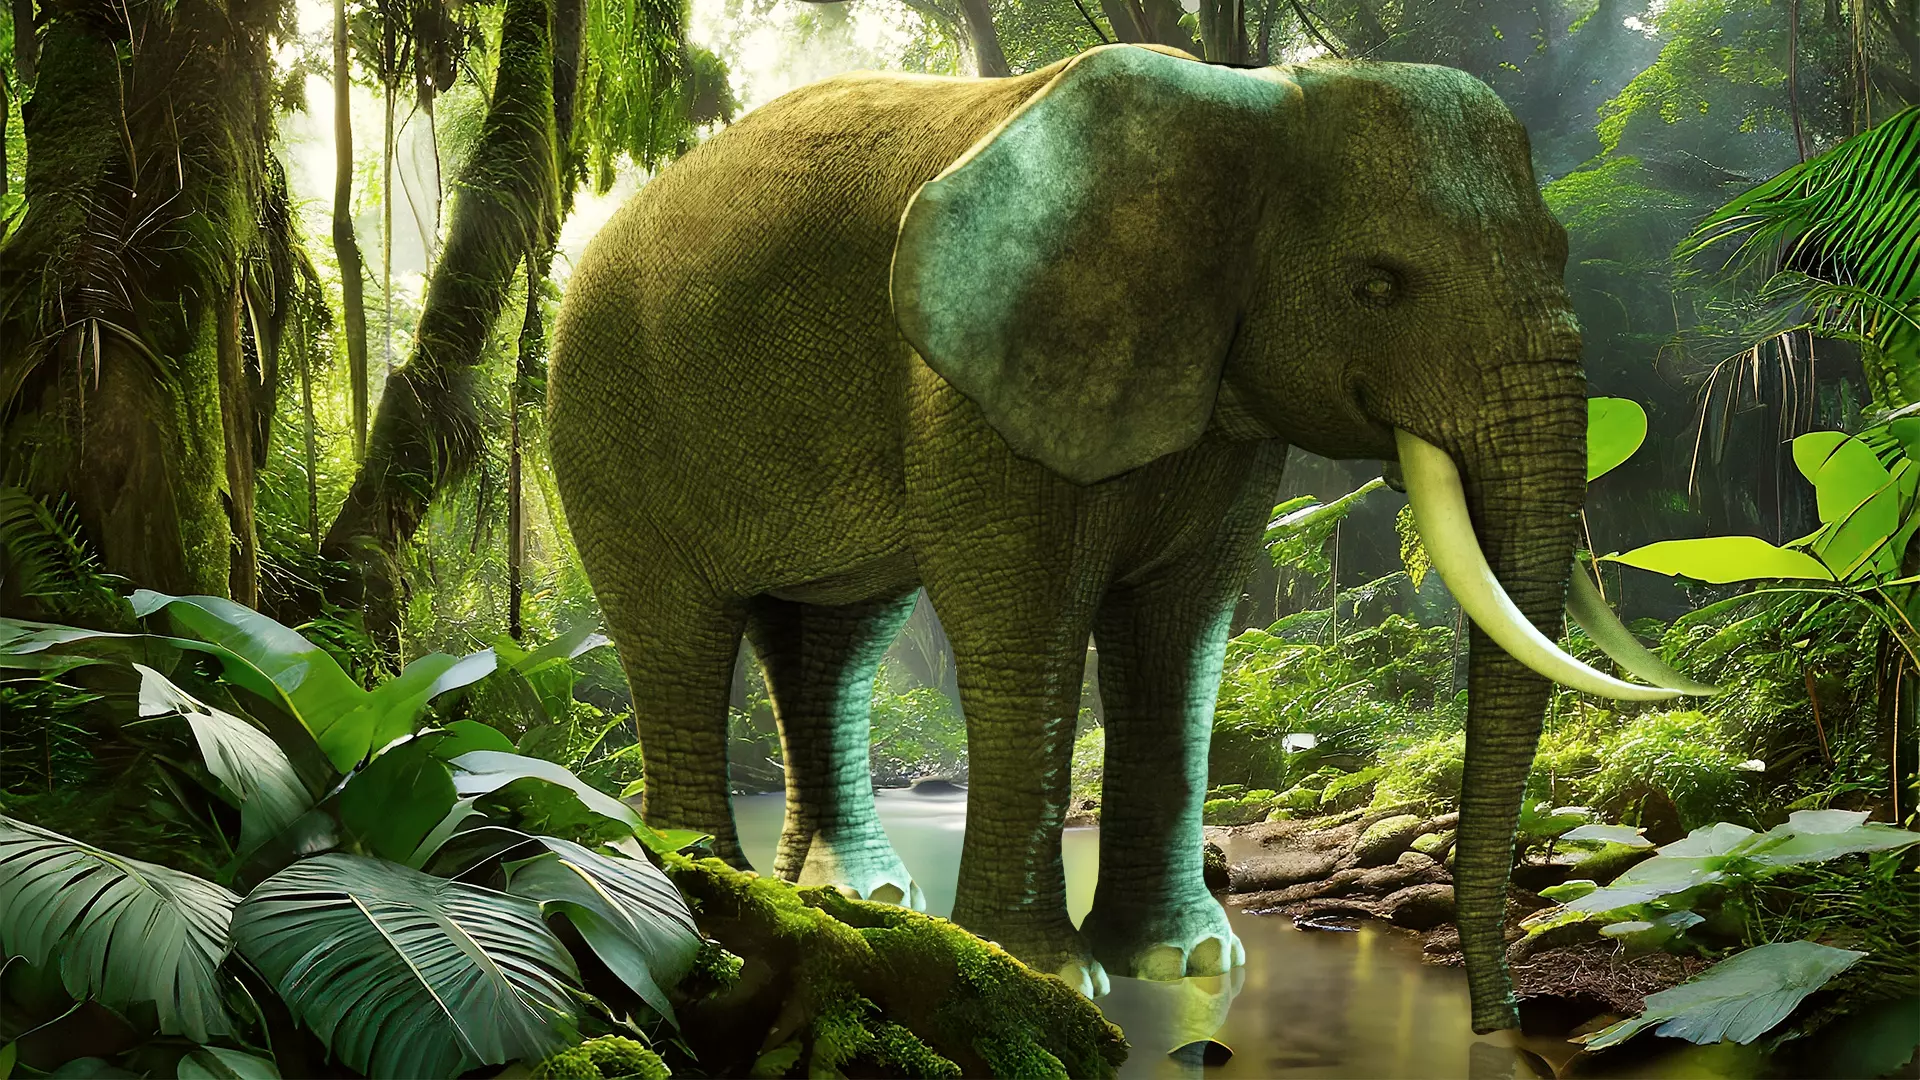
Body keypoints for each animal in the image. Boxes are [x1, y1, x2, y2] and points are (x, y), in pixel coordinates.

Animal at [547, 42, 1712, 1033]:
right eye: (1376, 285)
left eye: (1560, 250)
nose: (1498, 1023)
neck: (1243, 105)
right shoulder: (971, 380)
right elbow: (1024, 622)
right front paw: (1050, 977)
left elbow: (1181, 633)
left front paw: (1187, 967)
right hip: (604, 422)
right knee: (679, 641)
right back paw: (704, 897)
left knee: (839, 641)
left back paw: (847, 896)